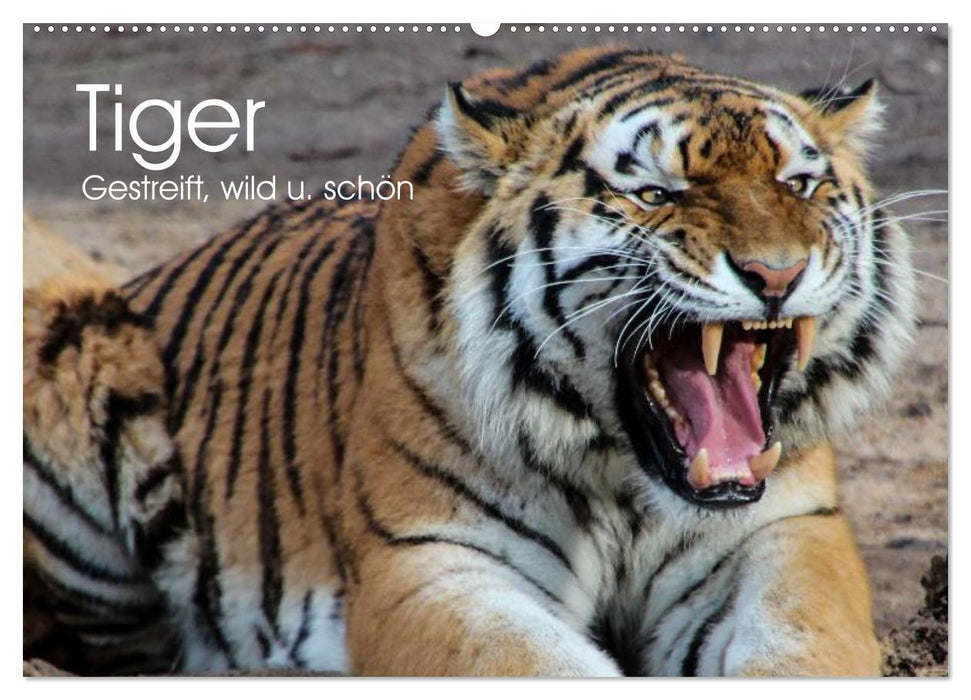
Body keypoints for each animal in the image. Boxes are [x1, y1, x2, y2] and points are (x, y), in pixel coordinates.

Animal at [23, 45, 917, 676]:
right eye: (654, 195)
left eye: (797, 184)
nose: (775, 274)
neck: (623, 476)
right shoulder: (432, 560)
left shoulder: (784, 532)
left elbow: (803, 644)